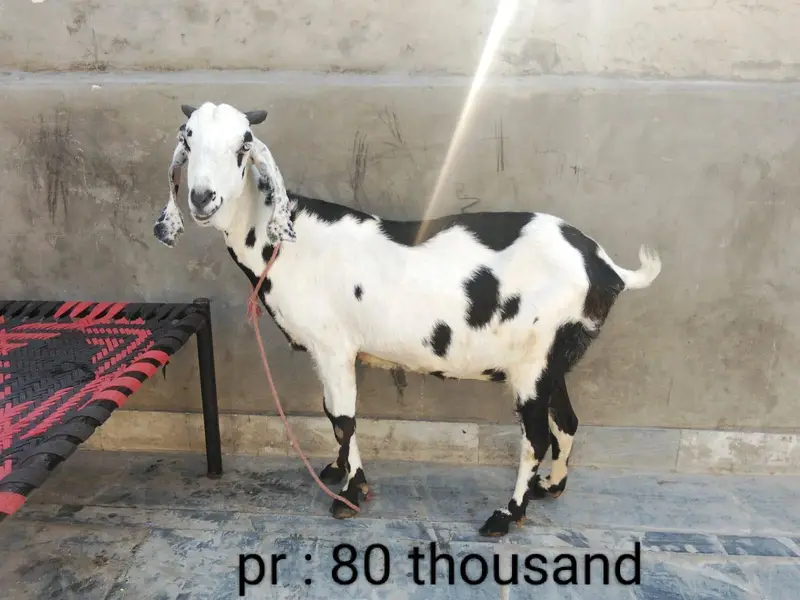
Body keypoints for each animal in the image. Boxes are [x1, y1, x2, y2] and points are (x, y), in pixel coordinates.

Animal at [153, 102, 662, 537]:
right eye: (188, 138)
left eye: (244, 144)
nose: (202, 198)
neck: (288, 243)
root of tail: (603, 266)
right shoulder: (327, 350)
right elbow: (329, 412)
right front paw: (337, 470)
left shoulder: (334, 345)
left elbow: (344, 419)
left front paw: (350, 493)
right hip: (555, 357)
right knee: (567, 421)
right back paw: (550, 486)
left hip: (534, 362)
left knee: (535, 436)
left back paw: (506, 514)